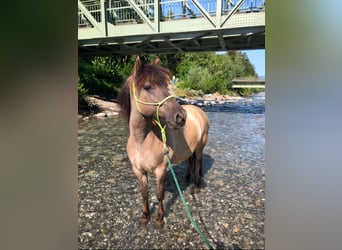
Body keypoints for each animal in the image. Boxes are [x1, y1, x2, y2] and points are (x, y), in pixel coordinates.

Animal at [117, 55, 208, 228]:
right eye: (148, 86)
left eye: (166, 85)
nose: (181, 116)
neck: (142, 141)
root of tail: (198, 111)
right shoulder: (138, 171)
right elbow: (144, 193)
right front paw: (145, 216)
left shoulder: (161, 170)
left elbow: (160, 194)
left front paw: (159, 218)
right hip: (189, 150)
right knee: (190, 161)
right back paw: (186, 179)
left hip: (200, 148)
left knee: (198, 163)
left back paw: (196, 187)